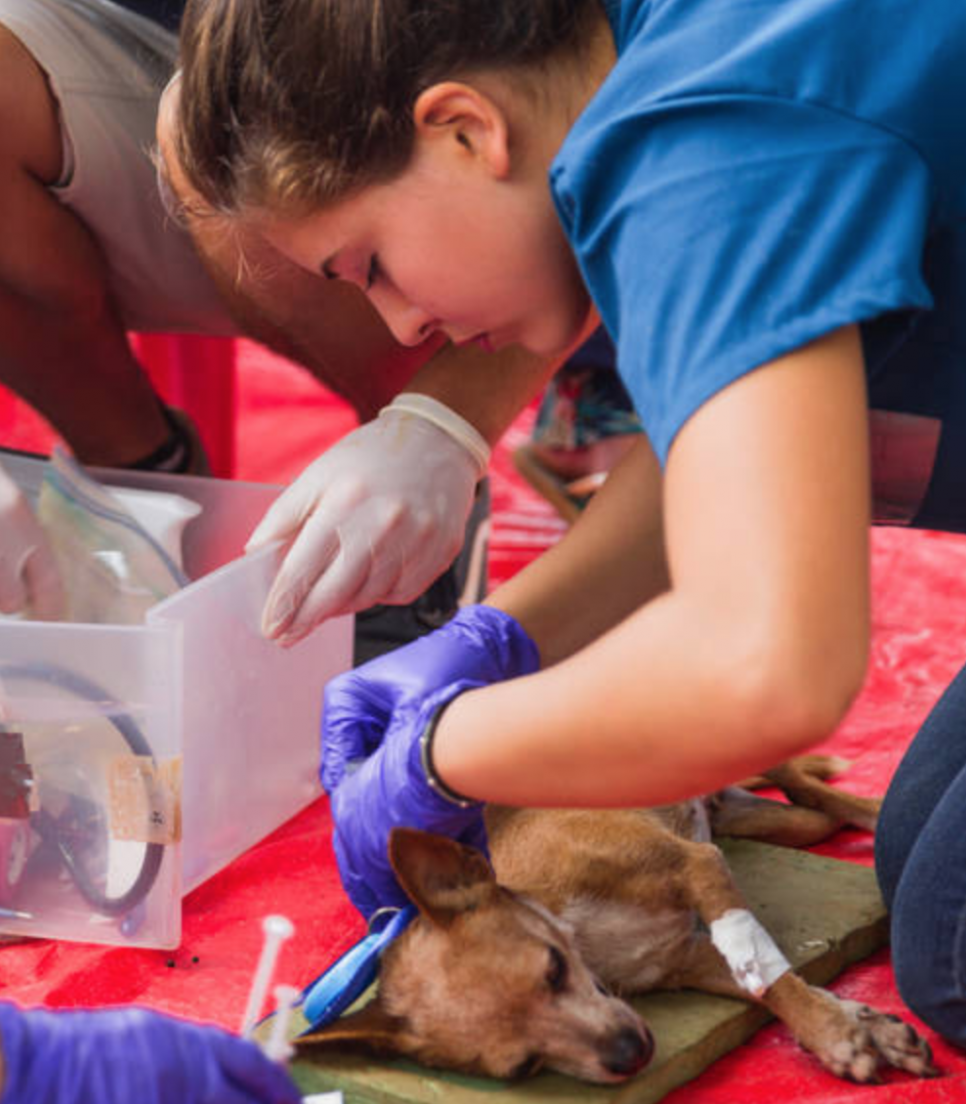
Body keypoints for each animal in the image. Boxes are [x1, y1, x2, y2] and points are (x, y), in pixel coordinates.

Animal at [302, 759, 936, 1086]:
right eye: (523, 1068)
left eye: (553, 971)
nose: (629, 1055)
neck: (584, 939)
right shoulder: (693, 956)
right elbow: (778, 984)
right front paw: (859, 1026)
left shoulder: (697, 866)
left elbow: (777, 980)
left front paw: (838, 1035)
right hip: (779, 824)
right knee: (812, 812)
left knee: (821, 793)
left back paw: (869, 809)